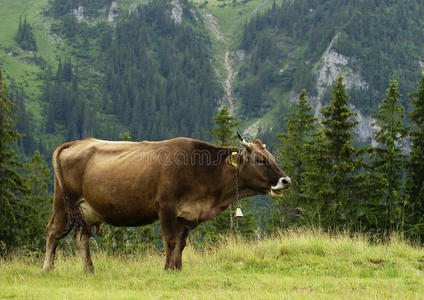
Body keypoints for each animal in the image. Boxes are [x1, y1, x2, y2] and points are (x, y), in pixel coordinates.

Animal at [42, 134, 292, 272]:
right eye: (260, 160)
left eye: (272, 158)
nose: (286, 180)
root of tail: (77, 142)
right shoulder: (166, 207)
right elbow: (170, 241)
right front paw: (166, 269)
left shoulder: (185, 214)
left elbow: (181, 244)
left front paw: (177, 269)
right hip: (63, 203)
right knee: (53, 232)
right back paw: (47, 269)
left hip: (87, 210)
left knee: (81, 238)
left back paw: (90, 271)